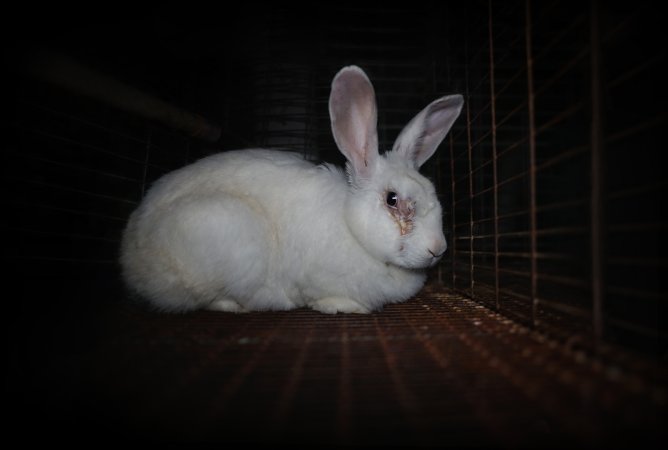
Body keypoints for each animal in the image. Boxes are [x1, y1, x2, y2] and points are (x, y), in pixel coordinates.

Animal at [120, 67, 462, 312]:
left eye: (433, 193)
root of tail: (131, 265)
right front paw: (346, 308)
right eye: (392, 199)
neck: (351, 227)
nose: (438, 249)